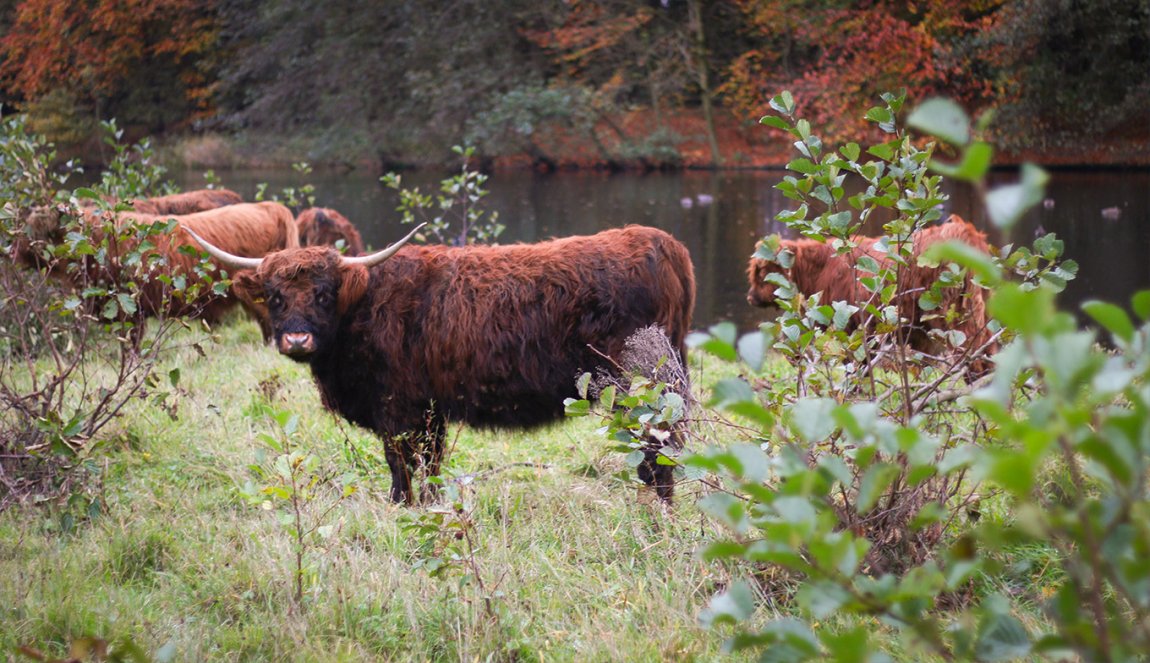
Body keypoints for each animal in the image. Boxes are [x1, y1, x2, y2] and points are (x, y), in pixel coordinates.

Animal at [186, 224, 699, 500]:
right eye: (275, 296)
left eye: (323, 293)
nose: (297, 338)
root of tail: (661, 242)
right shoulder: (429, 408)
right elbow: (428, 463)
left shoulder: (397, 407)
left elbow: (400, 464)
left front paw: (401, 506)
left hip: (643, 386)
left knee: (658, 450)